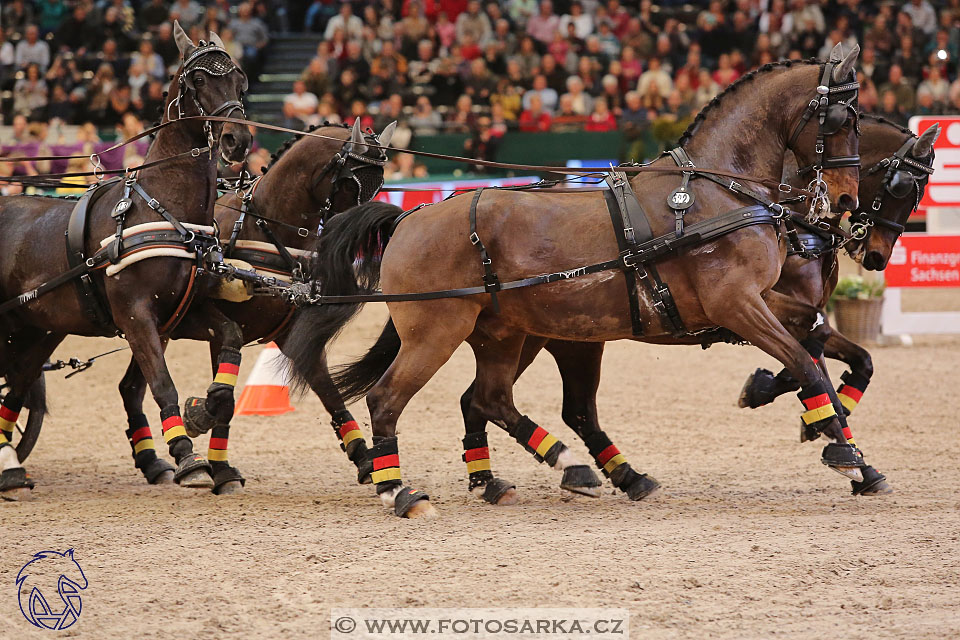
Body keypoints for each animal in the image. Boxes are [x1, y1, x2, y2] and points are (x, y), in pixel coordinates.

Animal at [0, 23, 251, 500]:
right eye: (199, 79)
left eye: (240, 79)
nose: (238, 139)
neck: (163, 210)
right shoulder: (135, 315)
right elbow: (162, 384)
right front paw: (187, 457)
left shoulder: (180, 310)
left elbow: (230, 337)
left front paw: (205, 410)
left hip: (38, 329)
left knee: (15, 390)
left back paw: (9, 470)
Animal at [114, 120, 392, 492]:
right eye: (351, 182)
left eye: (380, 185)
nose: (356, 235)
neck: (264, 229)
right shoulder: (215, 328)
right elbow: (224, 400)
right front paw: (206, 433)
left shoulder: (288, 335)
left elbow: (330, 394)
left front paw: (364, 459)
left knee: (131, 387)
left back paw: (152, 462)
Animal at [284, 51, 864, 520]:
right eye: (840, 120)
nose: (846, 201)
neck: (717, 192)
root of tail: (411, 216)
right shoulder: (736, 303)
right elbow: (804, 359)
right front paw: (846, 454)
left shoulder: (757, 301)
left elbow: (811, 341)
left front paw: (838, 436)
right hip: (437, 334)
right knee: (390, 399)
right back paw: (400, 491)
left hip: (503, 334)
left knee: (489, 398)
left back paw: (555, 470)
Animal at [456, 115, 936, 504]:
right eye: (900, 187)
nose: (875, 255)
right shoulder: (747, 306)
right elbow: (811, 363)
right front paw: (833, 439)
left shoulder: (785, 308)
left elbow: (854, 358)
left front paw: (836, 439)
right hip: (550, 336)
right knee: (505, 400)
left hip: (550, 336)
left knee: (493, 399)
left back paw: (498, 479)